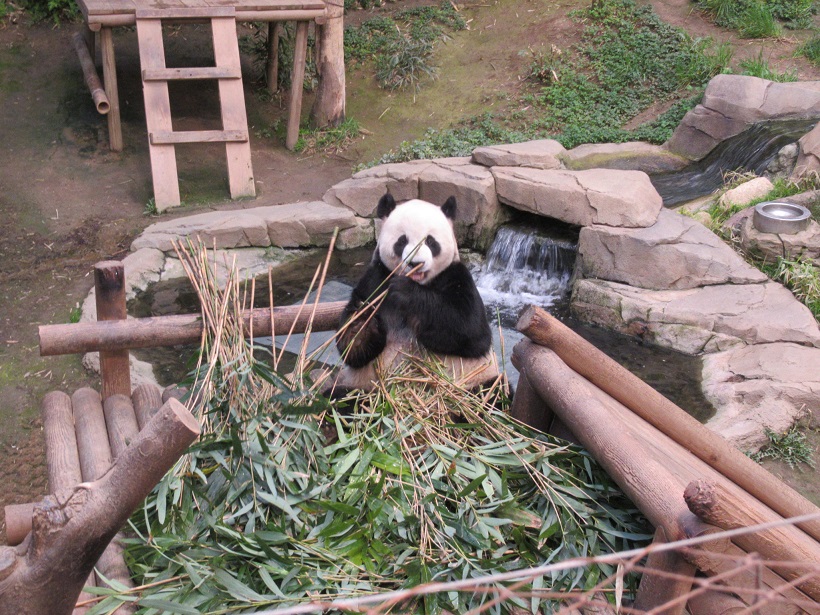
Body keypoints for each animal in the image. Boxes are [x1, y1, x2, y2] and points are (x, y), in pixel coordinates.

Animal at [328, 194, 496, 394]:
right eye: (402, 241)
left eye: (431, 241)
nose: (416, 263)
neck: (420, 283)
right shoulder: (375, 280)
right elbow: (353, 353)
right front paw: (359, 325)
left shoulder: (456, 276)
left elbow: (471, 330)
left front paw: (405, 291)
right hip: (361, 386)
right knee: (341, 396)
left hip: (478, 380)